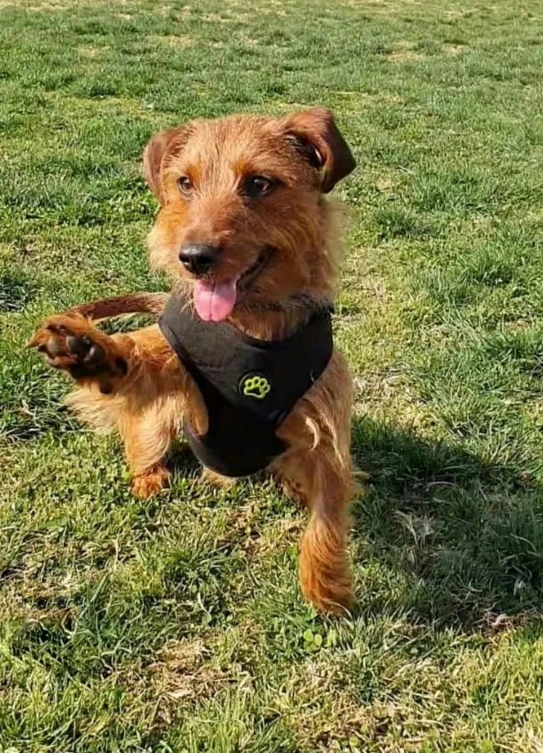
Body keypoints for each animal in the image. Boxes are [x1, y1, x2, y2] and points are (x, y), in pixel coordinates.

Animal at [30, 107, 362, 612]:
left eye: (259, 183)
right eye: (185, 183)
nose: (193, 257)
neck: (251, 325)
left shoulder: (326, 431)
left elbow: (325, 517)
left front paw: (325, 588)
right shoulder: (175, 368)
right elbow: (140, 360)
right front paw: (92, 352)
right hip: (159, 423)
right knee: (142, 441)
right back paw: (149, 477)